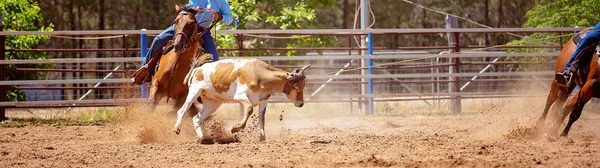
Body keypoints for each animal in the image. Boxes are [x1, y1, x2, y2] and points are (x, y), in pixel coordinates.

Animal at [173, 57, 312, 142]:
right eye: (297, 87)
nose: (301, 103)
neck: (259, 74)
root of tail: (198, 69)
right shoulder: (240, 96)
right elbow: (249, 109)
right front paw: (235, 128)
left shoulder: (263, 102)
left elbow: (262, 119)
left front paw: (262, 138)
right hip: (194, 92)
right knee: (181, 111)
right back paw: (177, 129)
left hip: (213, 103)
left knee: (196, 118)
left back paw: (203, 138)